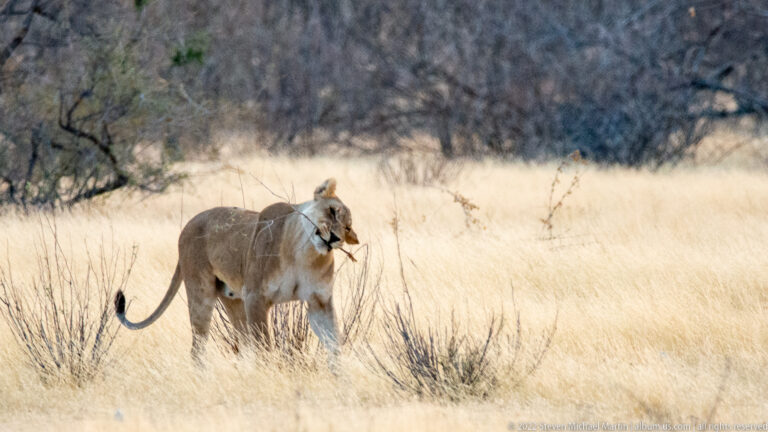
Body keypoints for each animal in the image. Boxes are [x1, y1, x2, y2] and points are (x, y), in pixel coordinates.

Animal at [114, 178, 359, 363]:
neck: (303, 253)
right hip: (201, 294)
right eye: (332, 211)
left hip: (233, 300)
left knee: (241, 343)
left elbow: (333, 341)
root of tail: (188, 225)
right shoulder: (256, 297)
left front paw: (340, 377)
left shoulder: (319, 300)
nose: (335, 237)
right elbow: (264, 345)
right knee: (198, 347)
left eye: (347, 227)